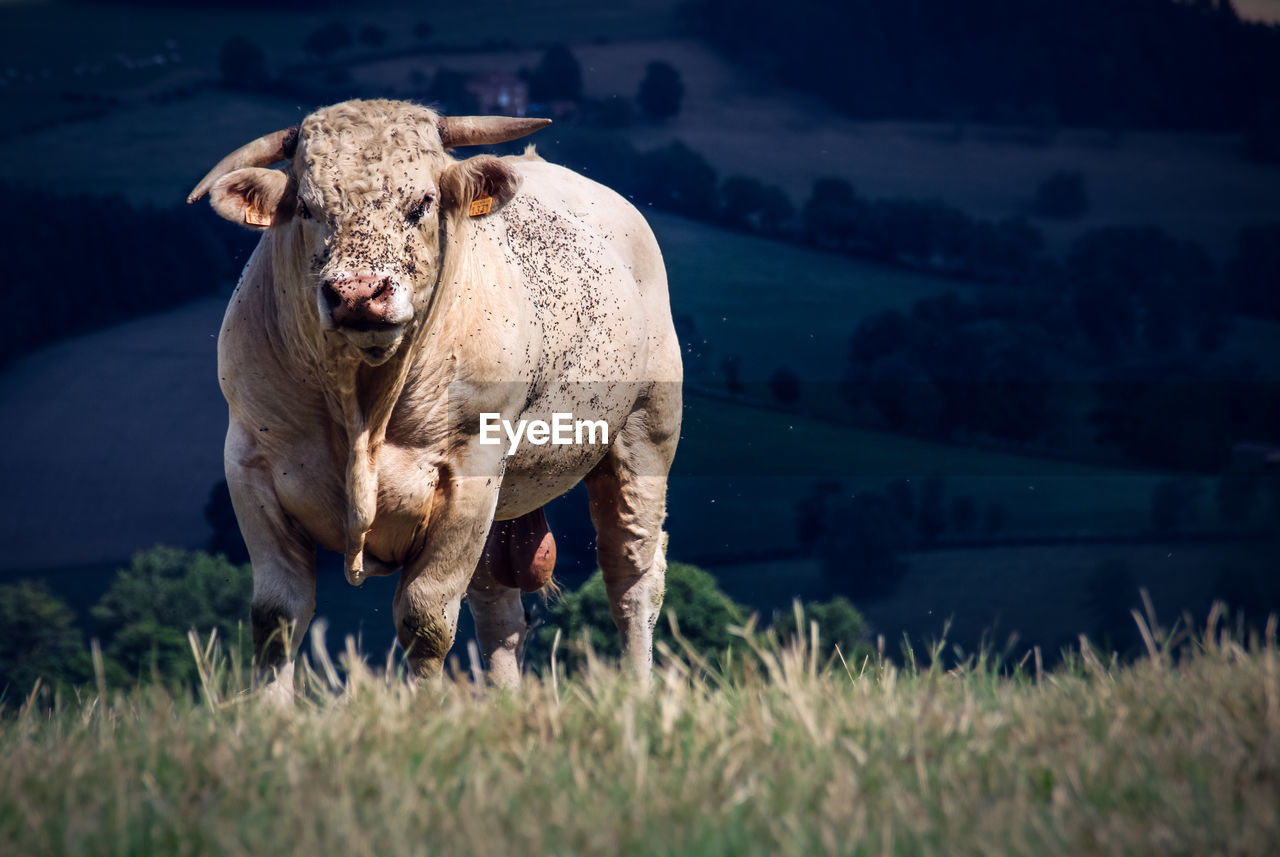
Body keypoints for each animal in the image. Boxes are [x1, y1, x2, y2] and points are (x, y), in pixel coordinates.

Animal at [186, 97, 680, 695]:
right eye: (306, 206)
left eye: (421, 202)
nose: (358, 293)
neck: (364, 405)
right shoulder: (250, 466)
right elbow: (277, 616)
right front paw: (268, 712)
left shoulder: (469, 476)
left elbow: (425, 619)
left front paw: (424, 706)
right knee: (499, 608)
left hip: (644, 436)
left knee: (632, 577)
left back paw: (640, 691)